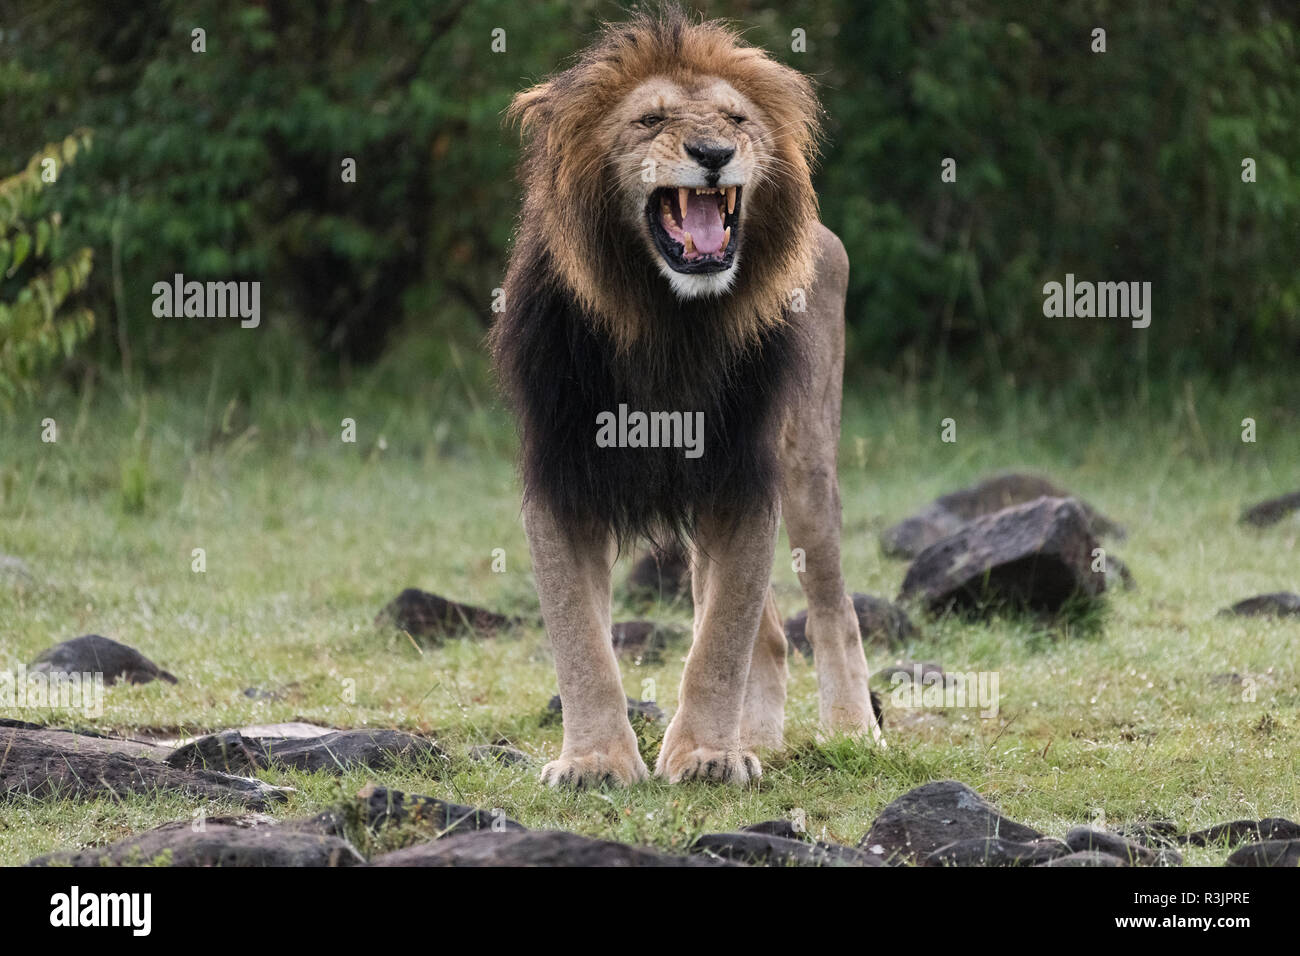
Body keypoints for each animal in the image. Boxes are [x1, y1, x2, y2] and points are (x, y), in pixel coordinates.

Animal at [488, 7, 883, 790]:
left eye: (736, 118)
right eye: (650, 120)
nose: (713, 151)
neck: (667, 323)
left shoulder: (744, 474)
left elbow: (721, 638)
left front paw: (706, 755)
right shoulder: (561, 477)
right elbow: (580, 639)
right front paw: (595, 762)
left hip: (807, 466)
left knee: (830, 606)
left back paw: (852, 733)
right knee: (770, 635)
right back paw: (757, 739)